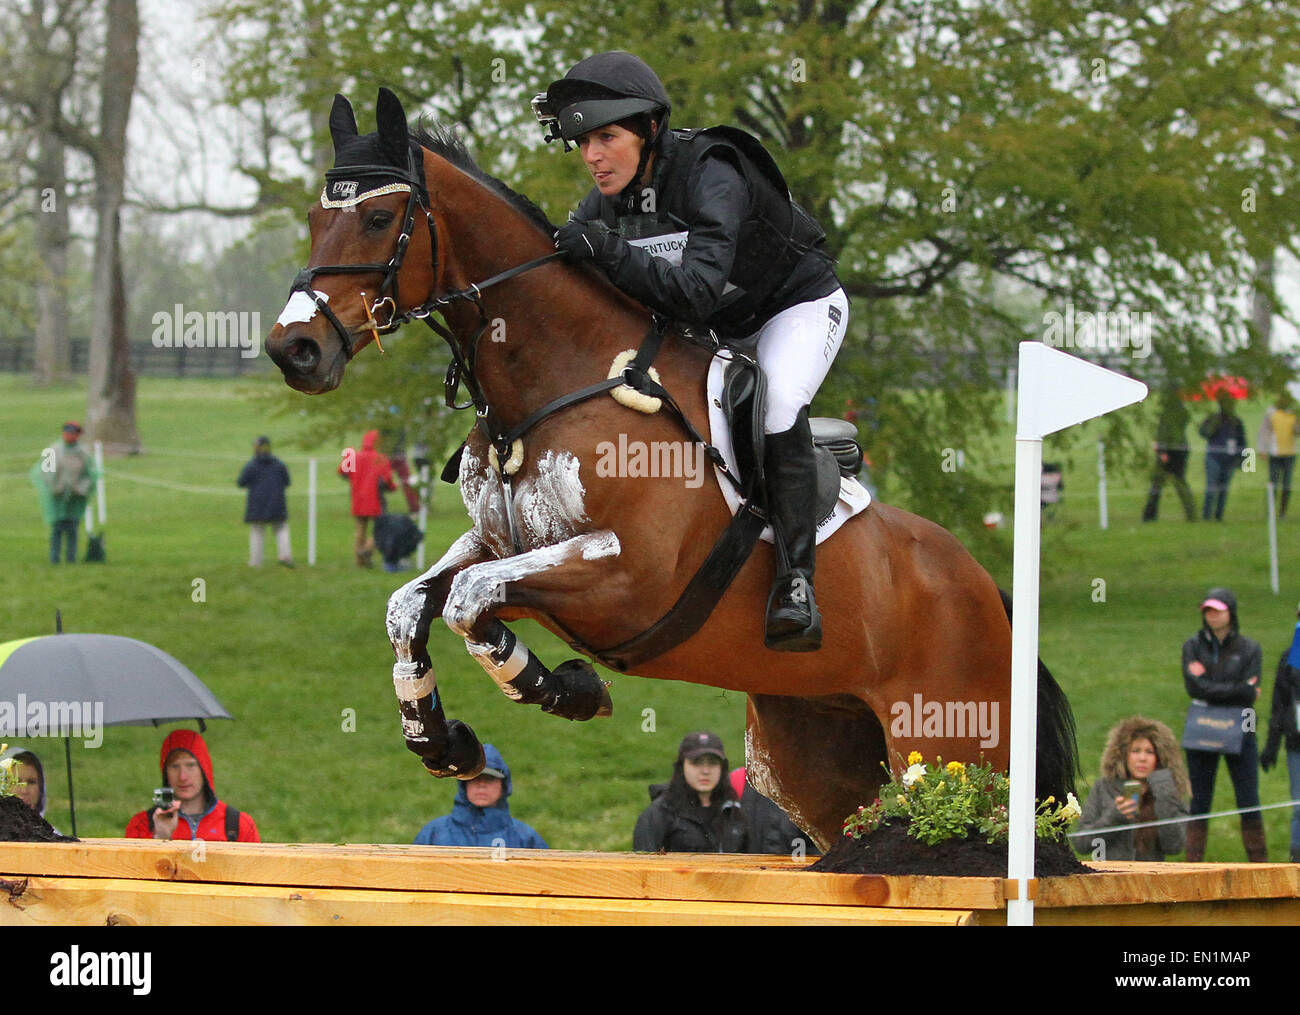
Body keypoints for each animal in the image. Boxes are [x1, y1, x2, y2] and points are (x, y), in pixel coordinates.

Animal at [263, 89, 1076, 847]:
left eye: (377, 220)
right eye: (312, 218)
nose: (293, 350)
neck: (555, 380)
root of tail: (988, 591)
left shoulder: (626, 579)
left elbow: (468, 599)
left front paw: (568, 689)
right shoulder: (505, 547)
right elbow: (414, 604)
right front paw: (444, 741)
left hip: (951, 743)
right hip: (819, 755)